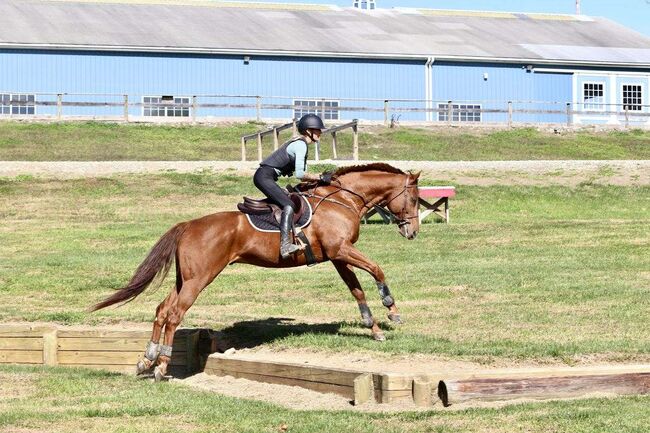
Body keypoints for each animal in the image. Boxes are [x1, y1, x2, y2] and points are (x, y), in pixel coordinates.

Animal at [92, 163, 421, 381]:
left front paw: (373, 328)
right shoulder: (341, 250)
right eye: (416, 199)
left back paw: (147, 360)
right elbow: (377, 270)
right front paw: (392, 311)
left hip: (186, 279)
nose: (413, 232)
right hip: (200, 279)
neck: (343, 199)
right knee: (174, 315)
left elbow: (356, 289)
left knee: (162, 310)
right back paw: (161, 366)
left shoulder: (337, 256)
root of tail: (188, 225)